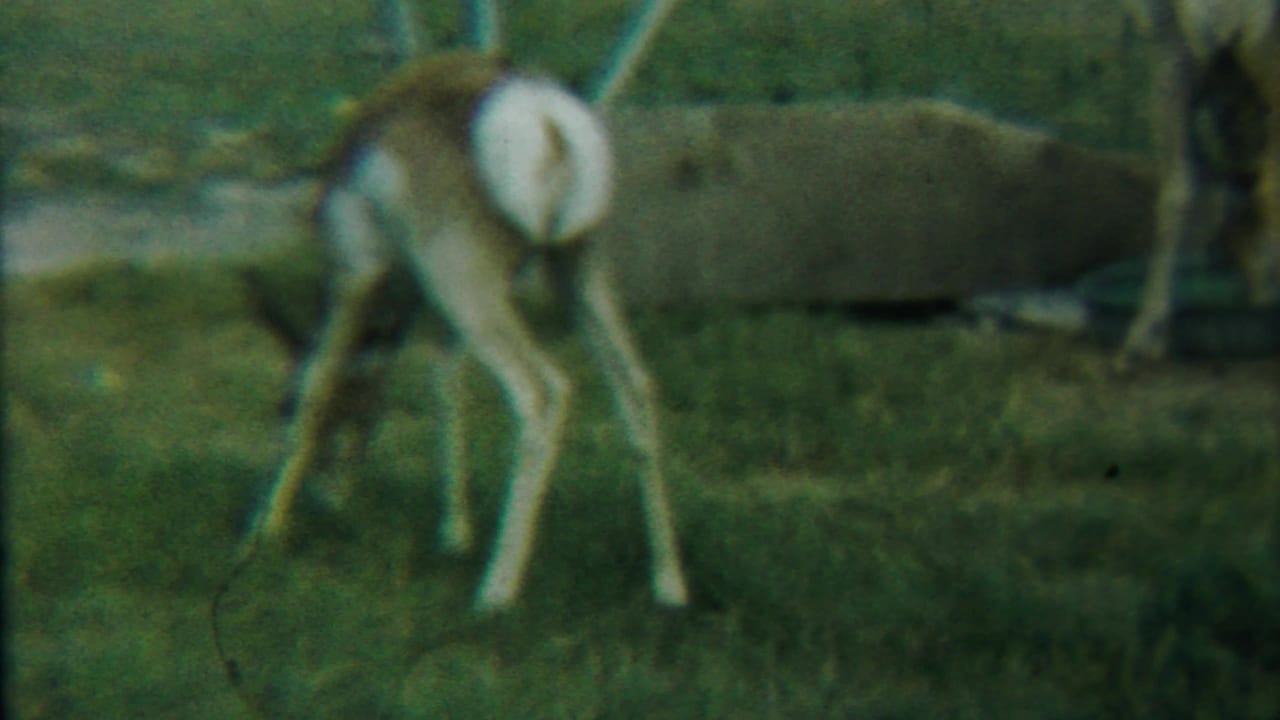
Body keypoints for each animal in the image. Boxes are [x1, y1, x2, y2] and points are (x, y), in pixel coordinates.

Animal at [244, 2, 689, 612]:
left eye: (278, 404)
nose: (325, 497)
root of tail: (544, 117)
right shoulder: (429, 303)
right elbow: (443, 379)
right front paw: (454, 532)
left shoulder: (358, 269)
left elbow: (319, 376)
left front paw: (263, 531)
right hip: (575, 271)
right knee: (635, 387)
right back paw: (669, 585)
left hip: (468, 287)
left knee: (542, 391)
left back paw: (496, 593)